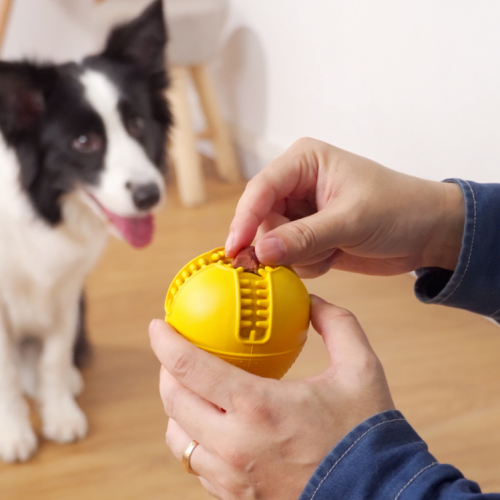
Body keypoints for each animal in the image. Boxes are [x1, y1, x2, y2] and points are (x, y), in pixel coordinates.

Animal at [0, 0, 172, 460]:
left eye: (137, 124)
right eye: (83, 142)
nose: (149, 195)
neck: (42, 208)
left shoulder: (67, 289)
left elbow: (56, 356)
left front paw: (61, 415)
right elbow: (5, 373)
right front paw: (13, 434)